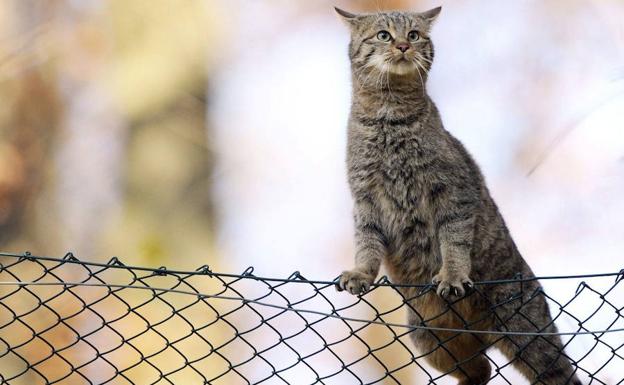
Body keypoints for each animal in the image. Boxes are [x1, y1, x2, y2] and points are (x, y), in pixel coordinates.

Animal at [334, 6, 584, 384]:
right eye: (383, 35)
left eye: (415, 35)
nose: (404, 46)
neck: (388, 118)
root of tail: (482, 331)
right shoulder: (365, 200)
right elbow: (366, 244)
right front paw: (361, 273)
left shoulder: (453, 192)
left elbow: (453, 241)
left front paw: (451, 275)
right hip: (429, 339)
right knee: (480, 369)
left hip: (530, 336)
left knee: (555, 373)